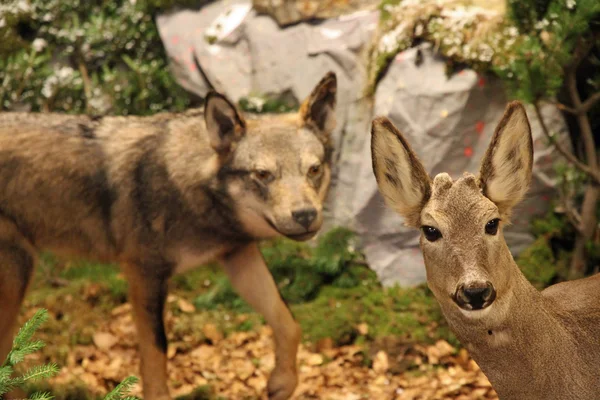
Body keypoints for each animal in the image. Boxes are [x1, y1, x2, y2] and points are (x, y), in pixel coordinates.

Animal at [0, 70, 338, 398]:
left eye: (314, 169)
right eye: (263, 175)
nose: (306, 215)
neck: (189, 187)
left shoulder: (238, 255)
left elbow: (288, 321)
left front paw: (283, 382)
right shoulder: (145, 275)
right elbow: (157, 352)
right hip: (17, 274)